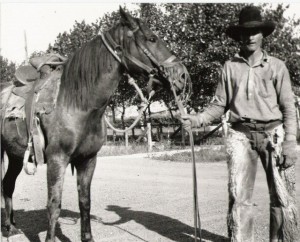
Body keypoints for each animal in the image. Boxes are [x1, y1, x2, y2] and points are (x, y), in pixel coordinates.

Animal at [0, 7, 190, 242]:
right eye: (152, 38)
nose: (182, 75)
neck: (75, 103)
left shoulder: (88, 160)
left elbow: (85, 202)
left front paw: (87, 237)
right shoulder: (57, 159)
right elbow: (54, 205)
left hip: (15, 155)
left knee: (7, 184)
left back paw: (10, 227)